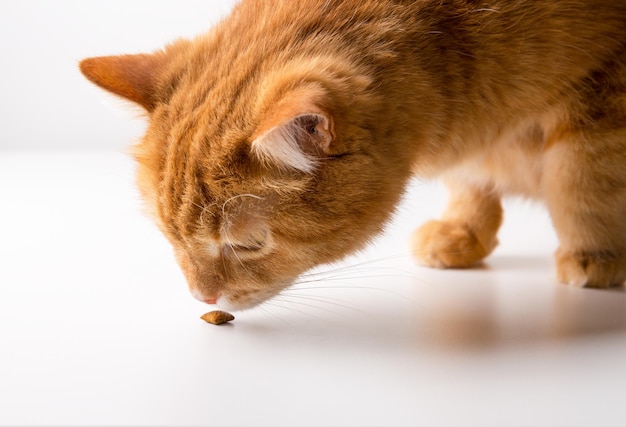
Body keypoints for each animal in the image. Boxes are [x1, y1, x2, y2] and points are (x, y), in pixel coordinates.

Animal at [78, 0, 624, 310]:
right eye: (168, 236)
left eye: (247, 245)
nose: (200, 298)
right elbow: (471, 180)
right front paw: (462, 231)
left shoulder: (603, 89)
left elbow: (583, 179)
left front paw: (593, 253)